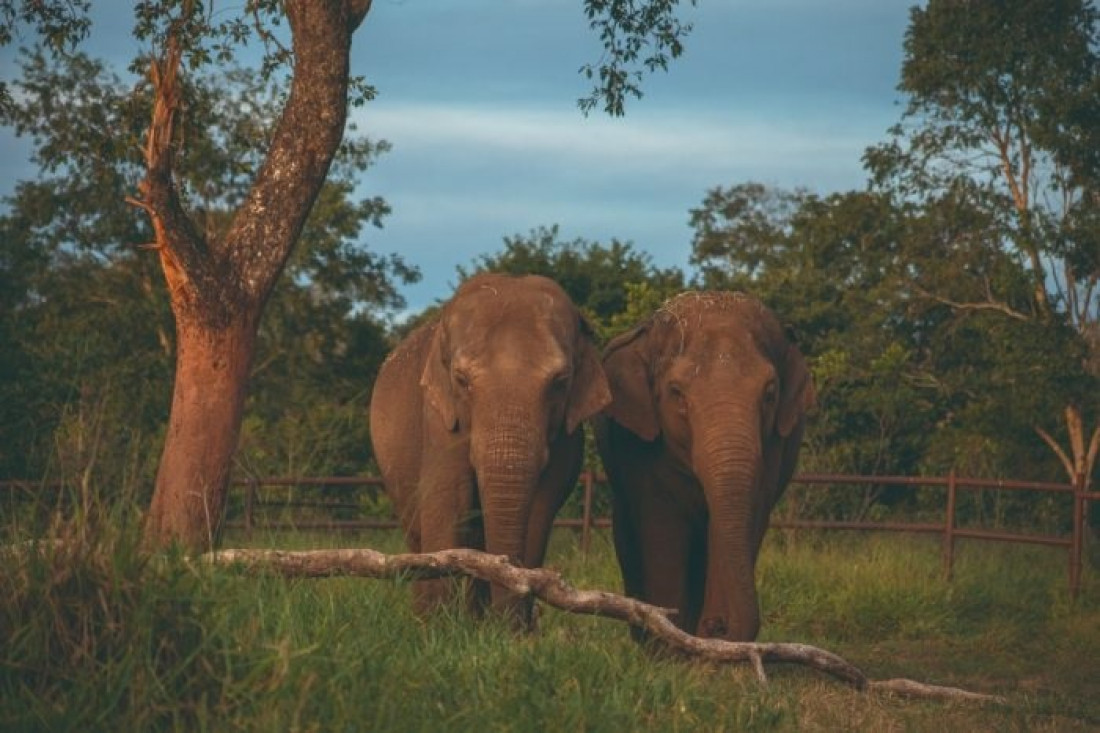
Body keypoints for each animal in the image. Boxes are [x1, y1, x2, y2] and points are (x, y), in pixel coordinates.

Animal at [369, 270, 611, 625]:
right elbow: (448, 498)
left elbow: (540, 506)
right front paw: (437, 629)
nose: (509, 622)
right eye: (461, 380)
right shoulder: (439, 417)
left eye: (560, 382)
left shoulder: (566, 433)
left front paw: (508, 631)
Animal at [594, 290, 818, 638]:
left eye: (770, 393)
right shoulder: (640, 449)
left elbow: (743, 520)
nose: (716, 625)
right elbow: (662, 525)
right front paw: (669, 642)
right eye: (676, 392)